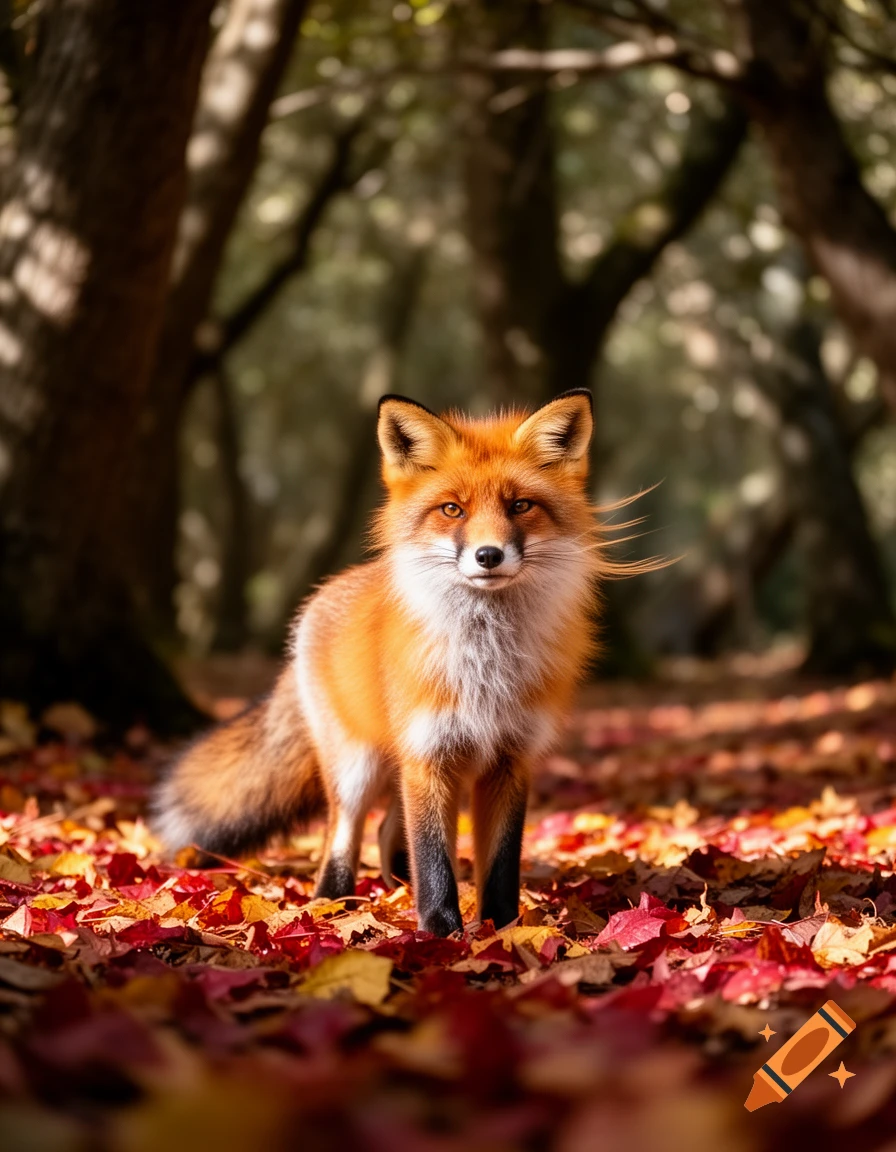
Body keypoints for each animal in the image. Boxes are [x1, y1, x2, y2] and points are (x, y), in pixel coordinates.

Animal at [154, 389, 605, 936]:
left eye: (520, 506)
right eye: (452, 509)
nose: (488, 555)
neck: (485, 665)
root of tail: (319, 600)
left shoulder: (510, 758)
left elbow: (500, 864)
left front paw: (503, 930)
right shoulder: (427, 752)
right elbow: (433, 856)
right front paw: (441, 932)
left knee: (390, 830)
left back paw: (396, 893)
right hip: (357, 767)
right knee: (342, 839)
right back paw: (332, 907)